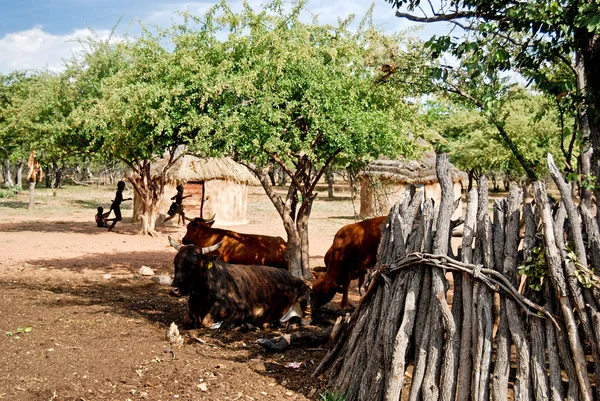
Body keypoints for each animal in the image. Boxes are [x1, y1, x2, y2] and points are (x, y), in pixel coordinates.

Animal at [168, 238, 312, 328]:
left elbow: (223, 325)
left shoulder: (243, 311)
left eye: (194, 263)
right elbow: (187, 321)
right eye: (175, 261)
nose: (174, 290)